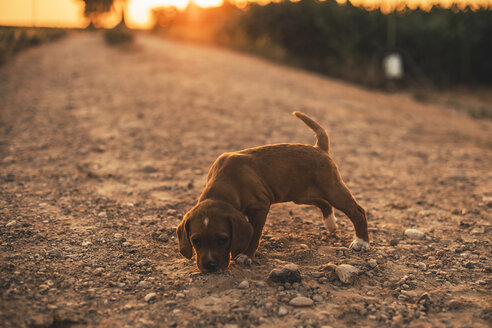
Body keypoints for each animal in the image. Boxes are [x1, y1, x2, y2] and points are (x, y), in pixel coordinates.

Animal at [177, 111, 368, 272]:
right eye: (196, 241)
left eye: (223, 239)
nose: (210, 267)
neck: (224, 186)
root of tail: (319, 148)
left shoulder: (260, 207)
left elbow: (255, 234)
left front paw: (246, 256)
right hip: (302, 195)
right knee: (324, 204)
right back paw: (331, 225)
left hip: (332, 189)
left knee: (357, 211)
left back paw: (361, 242)